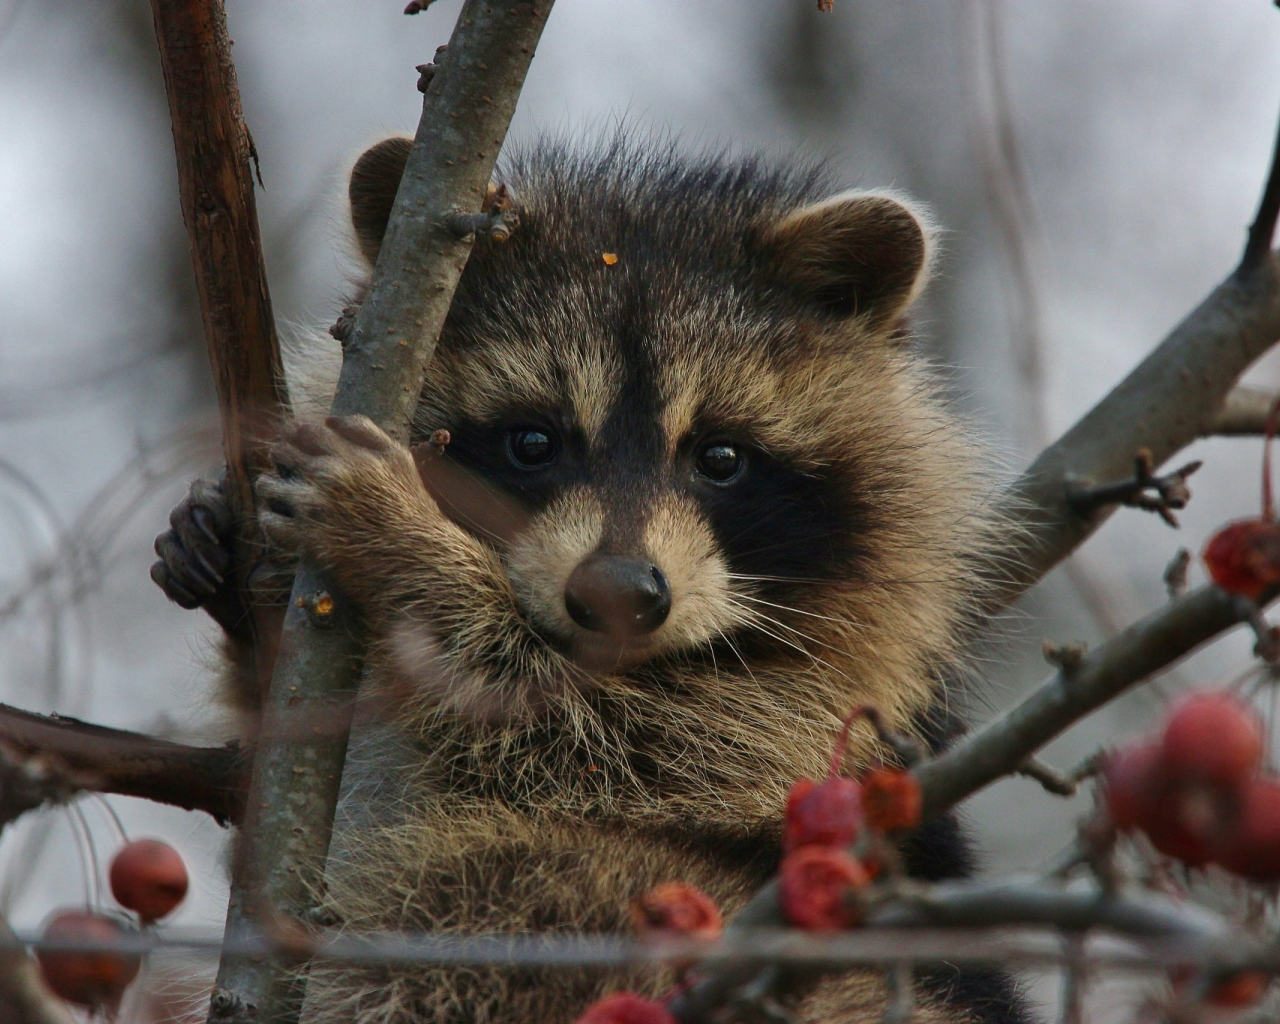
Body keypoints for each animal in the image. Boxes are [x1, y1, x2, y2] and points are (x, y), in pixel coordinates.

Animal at [152, 135, 1029, 1024]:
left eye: (721, 458)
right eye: (532, 442)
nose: (620, 596)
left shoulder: (800, 717)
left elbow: (583, 731)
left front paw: (406, 543)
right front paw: (228, 572)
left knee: (485, 886)